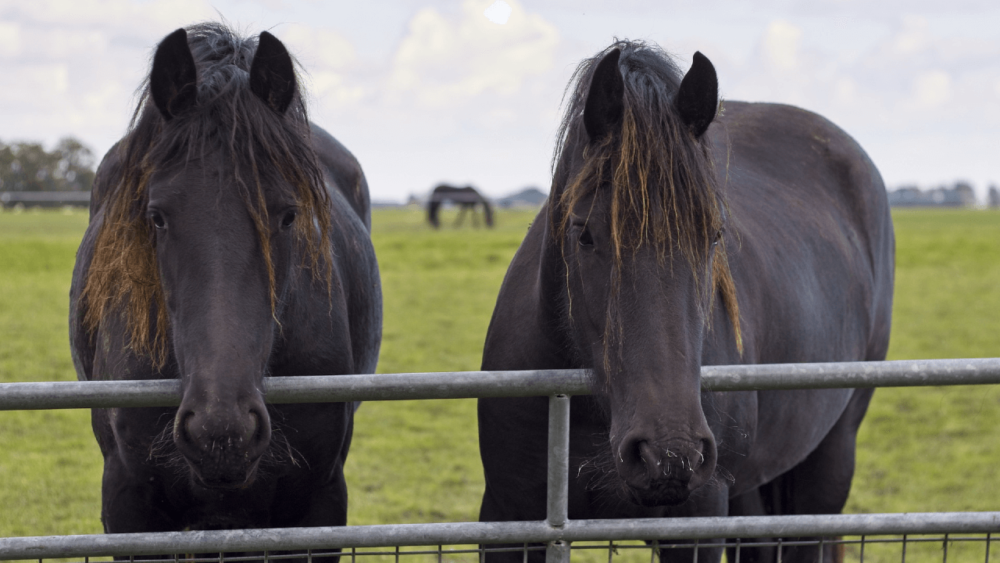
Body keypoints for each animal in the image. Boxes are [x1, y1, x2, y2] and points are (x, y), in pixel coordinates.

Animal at [480, 40, 896, 563]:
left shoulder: (695, 525)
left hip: (827, 465)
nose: (668, 454)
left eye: (714, 235)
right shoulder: (508, 520)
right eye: (585, 234)